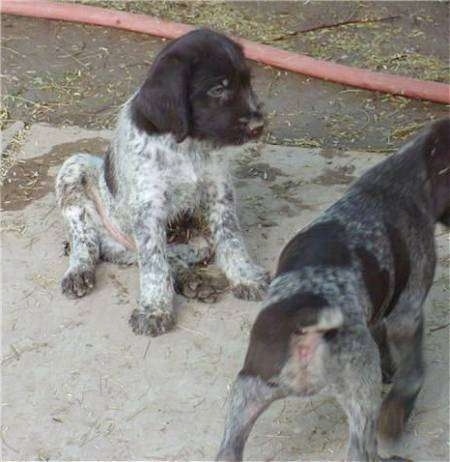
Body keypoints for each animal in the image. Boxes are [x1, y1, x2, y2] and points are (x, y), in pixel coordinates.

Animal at [55, 30, 270, 338]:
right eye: (217, 90)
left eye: (247, 82)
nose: (258, 127)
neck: (187, 146)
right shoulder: (148, 209)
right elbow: (154, 266)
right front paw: (155, 310)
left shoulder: (220, 192)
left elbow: (231, 240)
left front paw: (245, 276)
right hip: (75, 168)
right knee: (87, 241)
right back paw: (79, 271)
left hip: (195, 241)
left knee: (173, 258)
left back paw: (193, 281)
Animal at [217, 117, 450, 460]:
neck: (398, 181)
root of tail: (301, 326)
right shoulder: (407, 313)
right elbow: (412, 372)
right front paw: (397, 411)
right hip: (359, 391)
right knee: (360, 450)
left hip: (246, 393)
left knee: (228, 449)